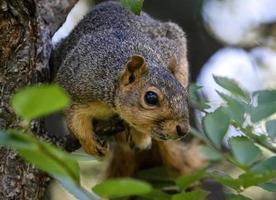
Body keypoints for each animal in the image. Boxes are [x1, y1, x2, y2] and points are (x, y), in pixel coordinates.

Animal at [54, 0, 192, 159]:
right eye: (151, 98)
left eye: (185, 95)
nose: (183, 129)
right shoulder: (73, 83)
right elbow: (74, 117)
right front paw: (90, 143)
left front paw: (140, 135)